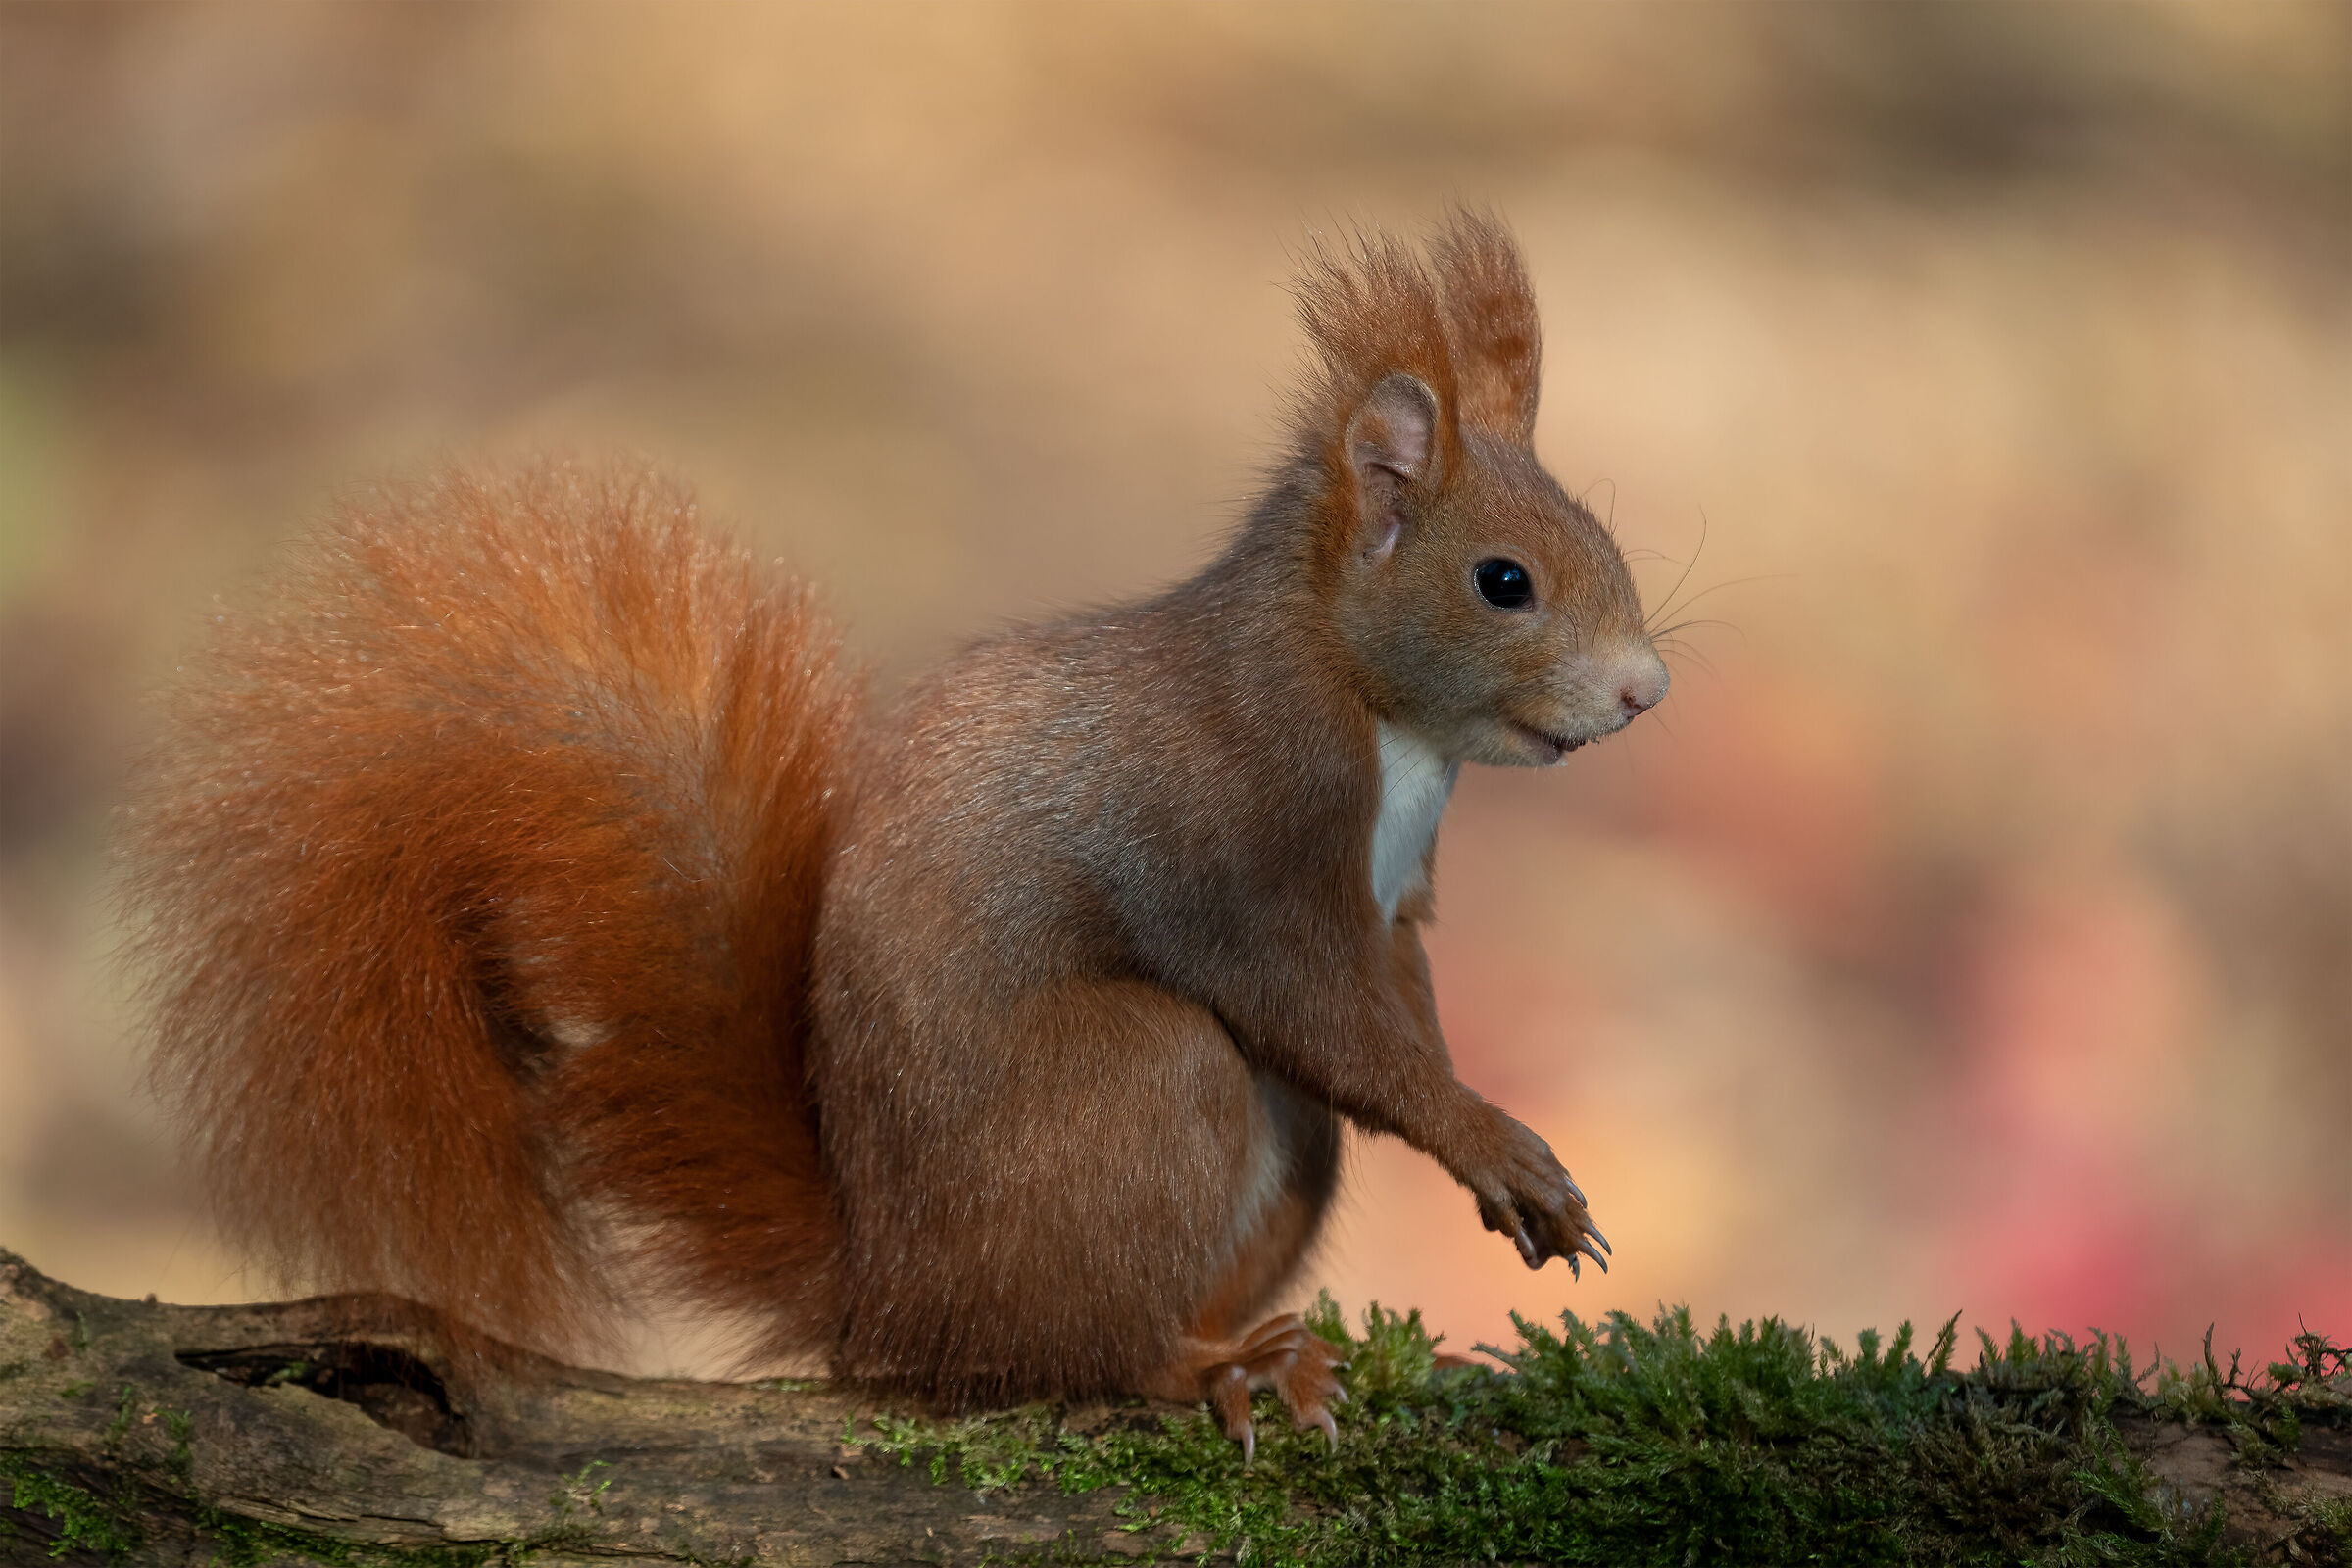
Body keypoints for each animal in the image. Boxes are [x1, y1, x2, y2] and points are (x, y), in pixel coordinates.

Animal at [120, 211, 1667, 1457]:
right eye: (1505, 581)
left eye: (1605, 538)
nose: (1647, 691)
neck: (1370, 708)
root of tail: (891, 1303)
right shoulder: (1240, 840)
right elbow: (1334, 1022)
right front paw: (1497, 1148)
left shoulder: (1394, 897)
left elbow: (1401, 1011)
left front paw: (1517, 1175)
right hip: (1143, 1088)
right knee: (1074, 1351)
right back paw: (1211, 1368)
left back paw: (1267, 1353)